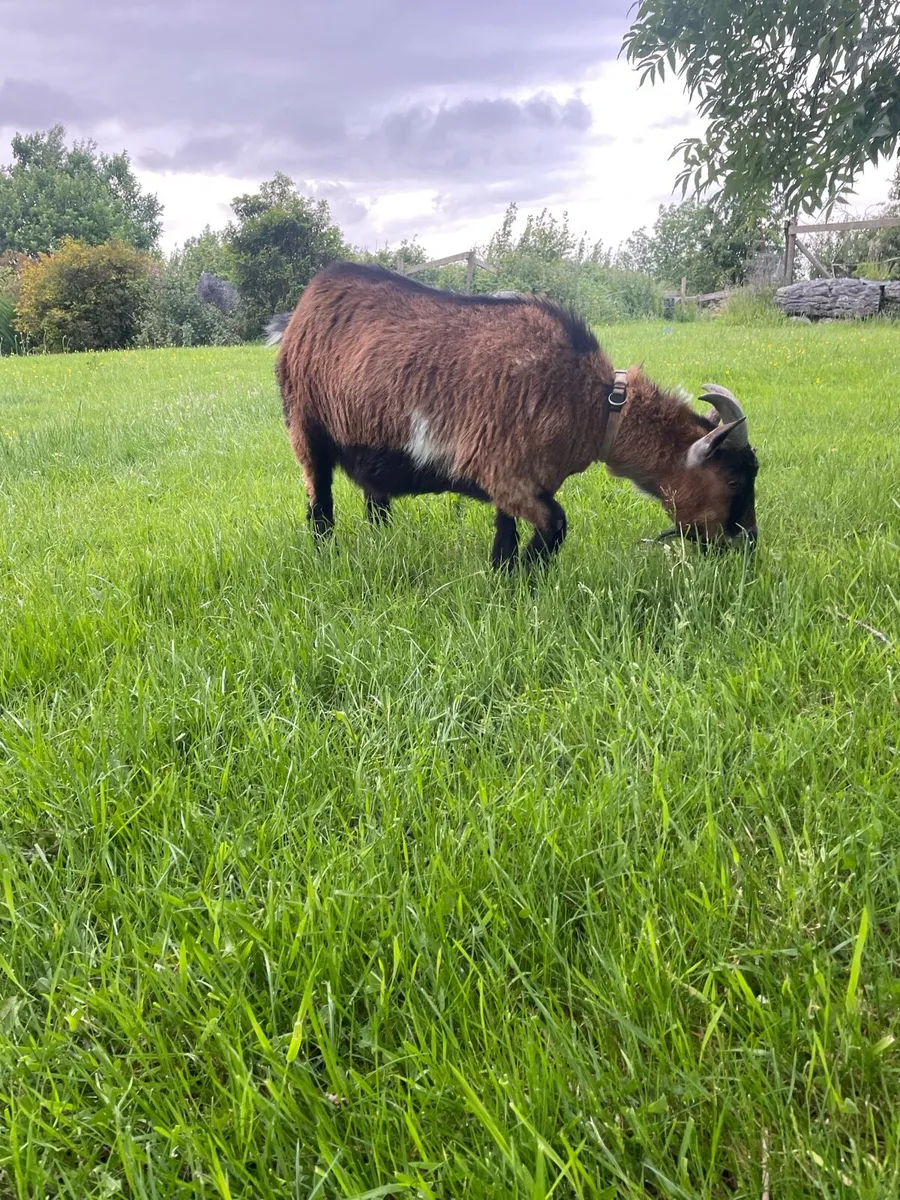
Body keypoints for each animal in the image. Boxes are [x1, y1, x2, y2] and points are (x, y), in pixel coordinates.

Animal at [267, 262, 758, 569]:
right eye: (734, 480)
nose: (747, 542)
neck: (596, 405)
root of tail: (299, 310)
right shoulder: (502, 471)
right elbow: (556, 525)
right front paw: (528, 575)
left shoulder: (522, 477)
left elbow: (505, 537)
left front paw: (505, 581)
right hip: (304, 424)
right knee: (319, 502)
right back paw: (325, 554)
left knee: (374, 498)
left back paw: (383, 542)